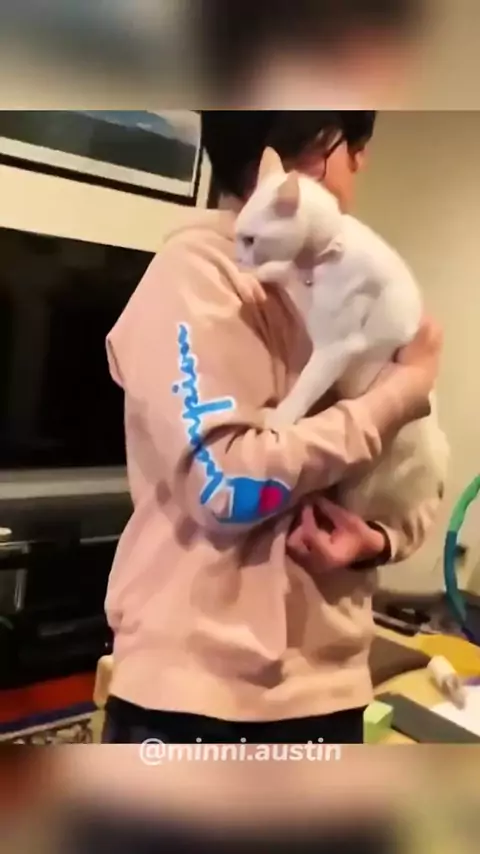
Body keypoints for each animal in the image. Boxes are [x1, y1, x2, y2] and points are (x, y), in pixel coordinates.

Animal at [235, 147, 449, 519]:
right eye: (239, 236)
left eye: (250, 240)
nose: (236, 255)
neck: (318, 257)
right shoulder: (294, 281)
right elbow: (275, 271)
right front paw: (251, 278)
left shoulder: (334, 349)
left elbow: (304, 389)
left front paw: (278, 420)